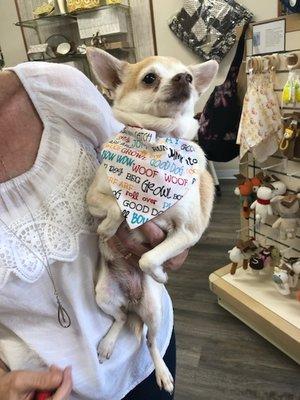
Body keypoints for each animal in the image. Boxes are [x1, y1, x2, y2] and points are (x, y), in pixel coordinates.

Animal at [85, 47, 217, 394]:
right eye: (149, 78)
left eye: (188, 75)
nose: (185, 78)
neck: (156, 141)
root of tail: (132, 301)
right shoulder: (92, 198)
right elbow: (114, 206)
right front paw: (108, 227)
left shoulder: (187, 232)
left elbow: (147, 258)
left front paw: (159, 272)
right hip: (103, 295)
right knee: (119, 319)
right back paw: (108, 343)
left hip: (154, 312)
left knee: (151, 341)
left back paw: (162, 373)